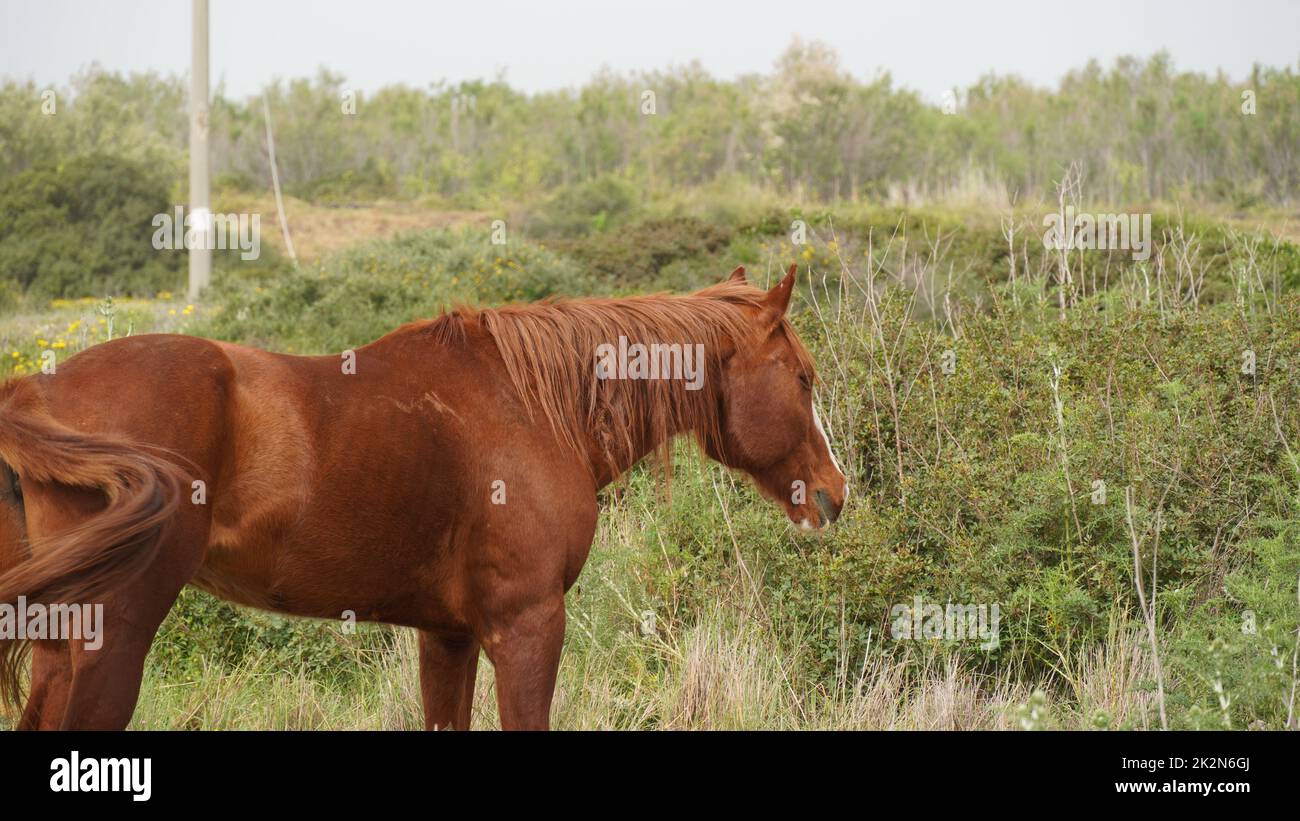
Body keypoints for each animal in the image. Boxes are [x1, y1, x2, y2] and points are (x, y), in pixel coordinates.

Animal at [0, 263, 848, 730]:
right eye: (803, 377)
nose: (834, 494)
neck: (534, 407)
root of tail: (35, 388)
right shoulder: (525, 626)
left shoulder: (449, 636)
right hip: (113, 642)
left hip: (55, 647)